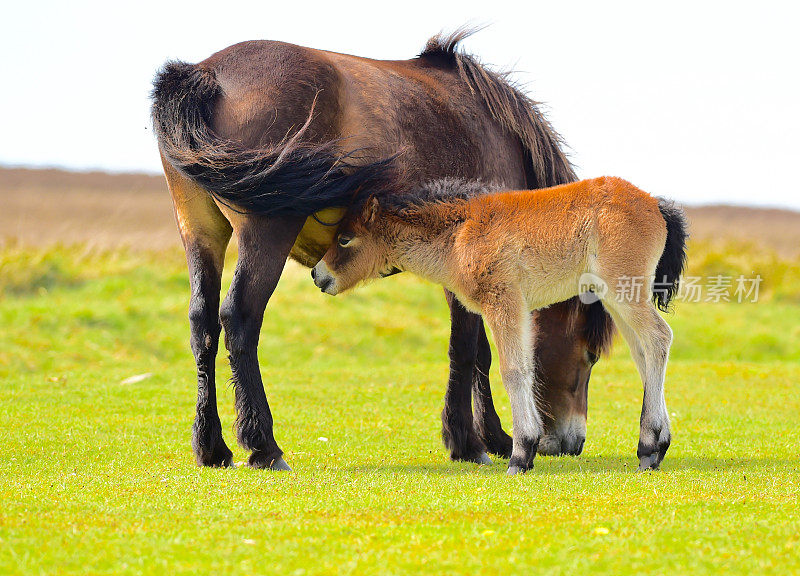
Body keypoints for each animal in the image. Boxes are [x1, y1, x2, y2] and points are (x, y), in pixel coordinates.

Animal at [150, 30, 612, 468]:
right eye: (590, 354)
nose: (573, 443)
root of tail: (203, 74)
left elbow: (481, 349)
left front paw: (493, 438)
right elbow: (468, 349)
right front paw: (468, 442)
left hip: (201, 233)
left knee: (203, 325)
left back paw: (212, 447)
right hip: (266, 232)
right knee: (240, 318)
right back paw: (264, 446)